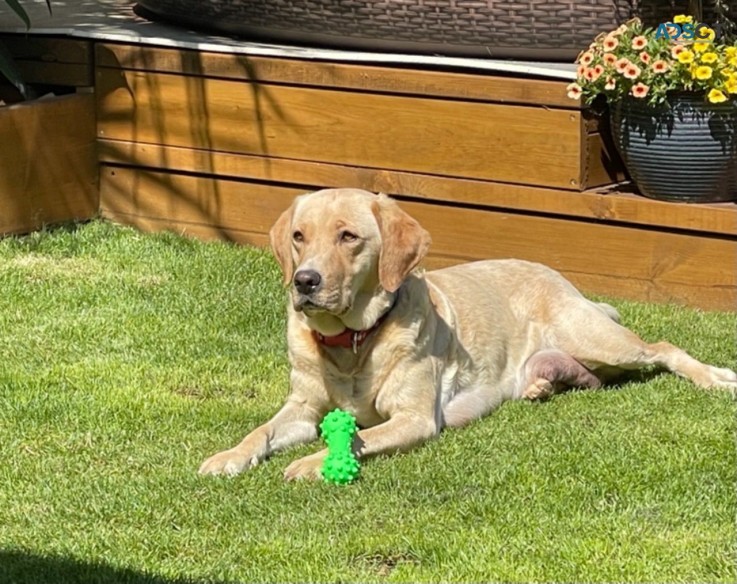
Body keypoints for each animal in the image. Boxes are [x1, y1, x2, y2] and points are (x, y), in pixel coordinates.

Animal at [197, 188, 736, 480]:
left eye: (348, 237)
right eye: (298, 236)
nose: (304, 282)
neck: (352, 344)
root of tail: (559, 276)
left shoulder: (415, 418)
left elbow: (358, 438)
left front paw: (313, 463)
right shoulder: (302, 408)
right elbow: (260, 432)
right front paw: (228, 456)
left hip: (592, 335)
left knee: (661, 348)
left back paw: (714, 377)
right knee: (595, 377)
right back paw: (543, 385)